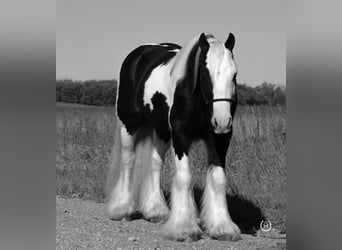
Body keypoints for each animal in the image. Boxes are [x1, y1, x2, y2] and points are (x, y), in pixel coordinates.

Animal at [106, 32, 240, 241]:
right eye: (204, 74)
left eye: (234, 75)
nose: (222, 121)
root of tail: (138, 54)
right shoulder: (180, 136)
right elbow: (184, 177)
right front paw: (184, 228)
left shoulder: (219, 140)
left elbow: (218, 179)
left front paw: (222, 227)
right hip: (129, 125)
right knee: (128, 161)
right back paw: (122, 209)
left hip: (161, 132)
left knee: (155, 163)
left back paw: (156, 211)